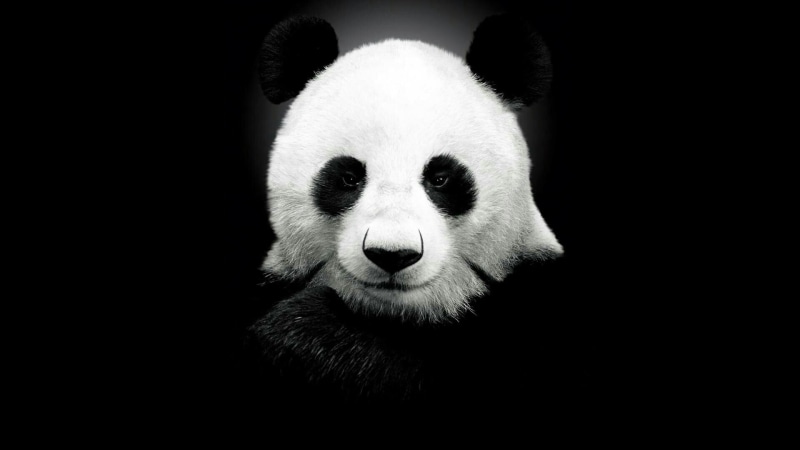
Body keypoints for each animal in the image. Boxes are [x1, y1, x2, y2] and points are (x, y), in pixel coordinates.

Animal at [241, 14, 580, 412]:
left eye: (441, 178)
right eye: (349, 177)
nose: (393, 254)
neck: (397, 317)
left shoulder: (534, 307)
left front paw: (303, 332)